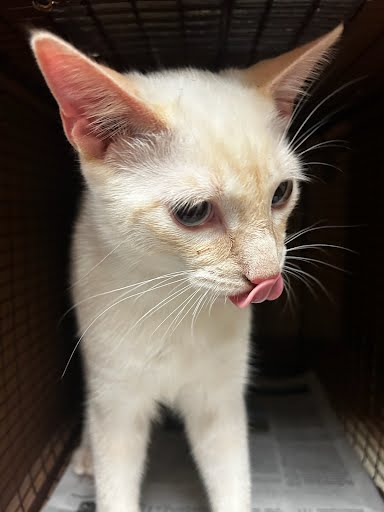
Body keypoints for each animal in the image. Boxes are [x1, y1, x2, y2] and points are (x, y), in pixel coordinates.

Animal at [30, 25, 342, 512]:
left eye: (281, 193)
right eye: (194, 213)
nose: (267, 277)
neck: (171, 300)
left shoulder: (221, 402)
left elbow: (232, 481)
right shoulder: (117, 404)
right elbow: (114, 482)